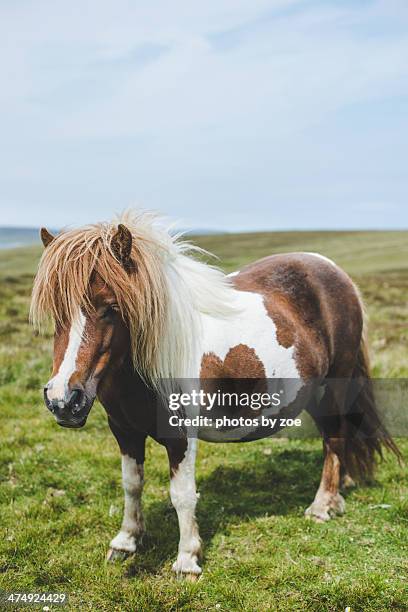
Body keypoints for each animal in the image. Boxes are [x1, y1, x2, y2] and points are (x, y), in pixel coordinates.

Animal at [31, 210, 398, 580]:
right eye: (55, 310)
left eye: (109, 307)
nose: (63, 401)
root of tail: (336, 273)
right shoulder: (123, 429)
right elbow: (131, 484)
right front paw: (126, 542)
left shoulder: (181, 436)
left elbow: (182, 494)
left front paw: (187, 560)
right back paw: (337, 495)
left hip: (334, 388)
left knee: (335, 439)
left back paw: (322, 506)